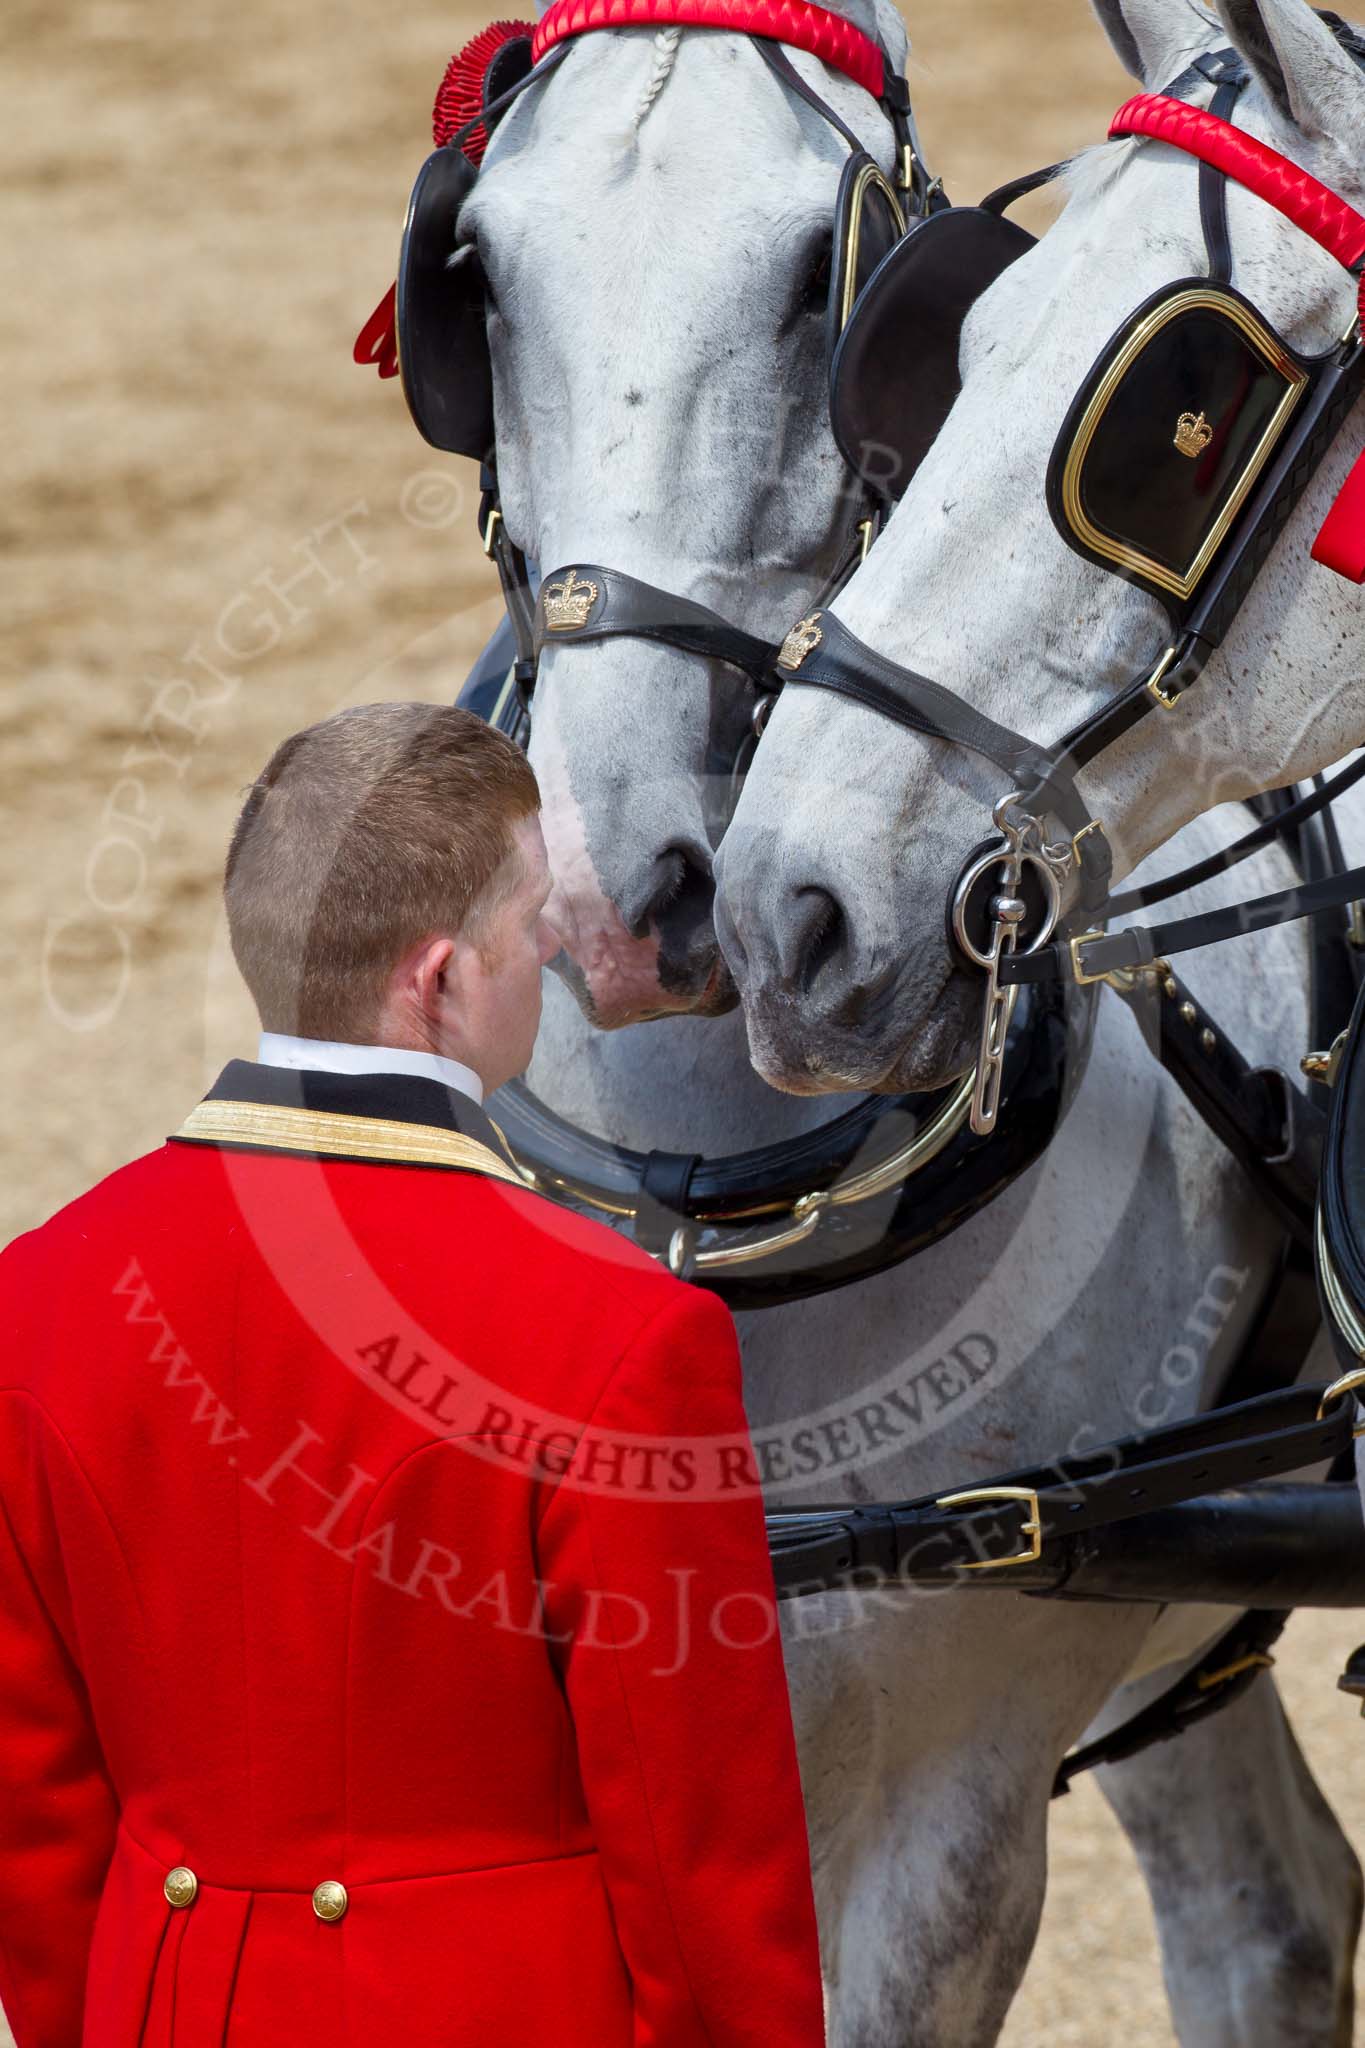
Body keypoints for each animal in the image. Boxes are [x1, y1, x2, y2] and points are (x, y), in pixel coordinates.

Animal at [449, 0, 1363, 2035]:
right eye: (480, 274)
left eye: (827, 266)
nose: (670, 889)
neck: (722, 1212)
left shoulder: (938, 1831)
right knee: (1268, 1910)